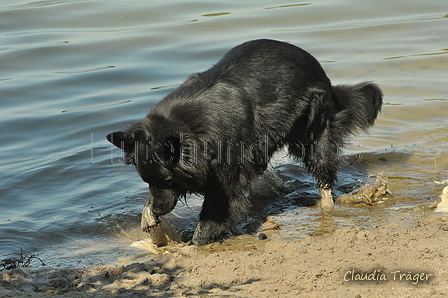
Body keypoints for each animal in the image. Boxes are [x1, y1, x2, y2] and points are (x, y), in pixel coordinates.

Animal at [107, 39, 384, 244]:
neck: (191, 130)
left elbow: (219, 203)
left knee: (322, 162)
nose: (157, 210)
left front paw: (197, 241)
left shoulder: (228, 160)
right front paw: (147, 218)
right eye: (146, 181)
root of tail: (321, 72)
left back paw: (326, 204)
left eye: (167, 180)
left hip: (313, 123)